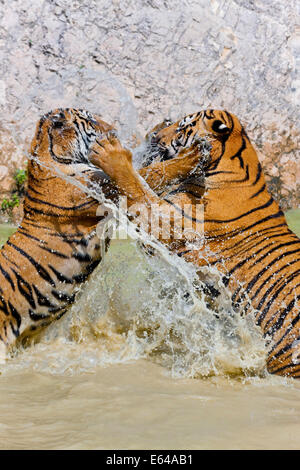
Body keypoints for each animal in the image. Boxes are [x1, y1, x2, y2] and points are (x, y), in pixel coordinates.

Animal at [0, 108, 202, 358]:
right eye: (91, 120)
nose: (114, 129)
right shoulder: (106, 190)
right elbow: (147, 172)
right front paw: (190, 156)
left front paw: (159, 129)